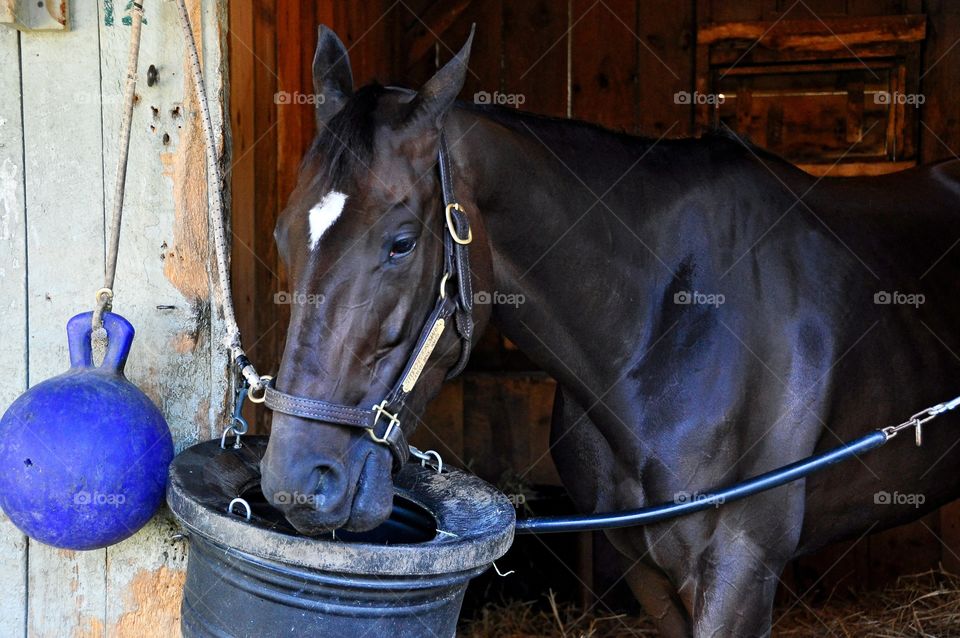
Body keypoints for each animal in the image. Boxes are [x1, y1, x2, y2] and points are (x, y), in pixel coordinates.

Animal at [258, 26, 960, 638]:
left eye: (401, 243)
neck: (670, 325)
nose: (298, 479)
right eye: (283, 234)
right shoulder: (644, 564)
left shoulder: (742, 569)